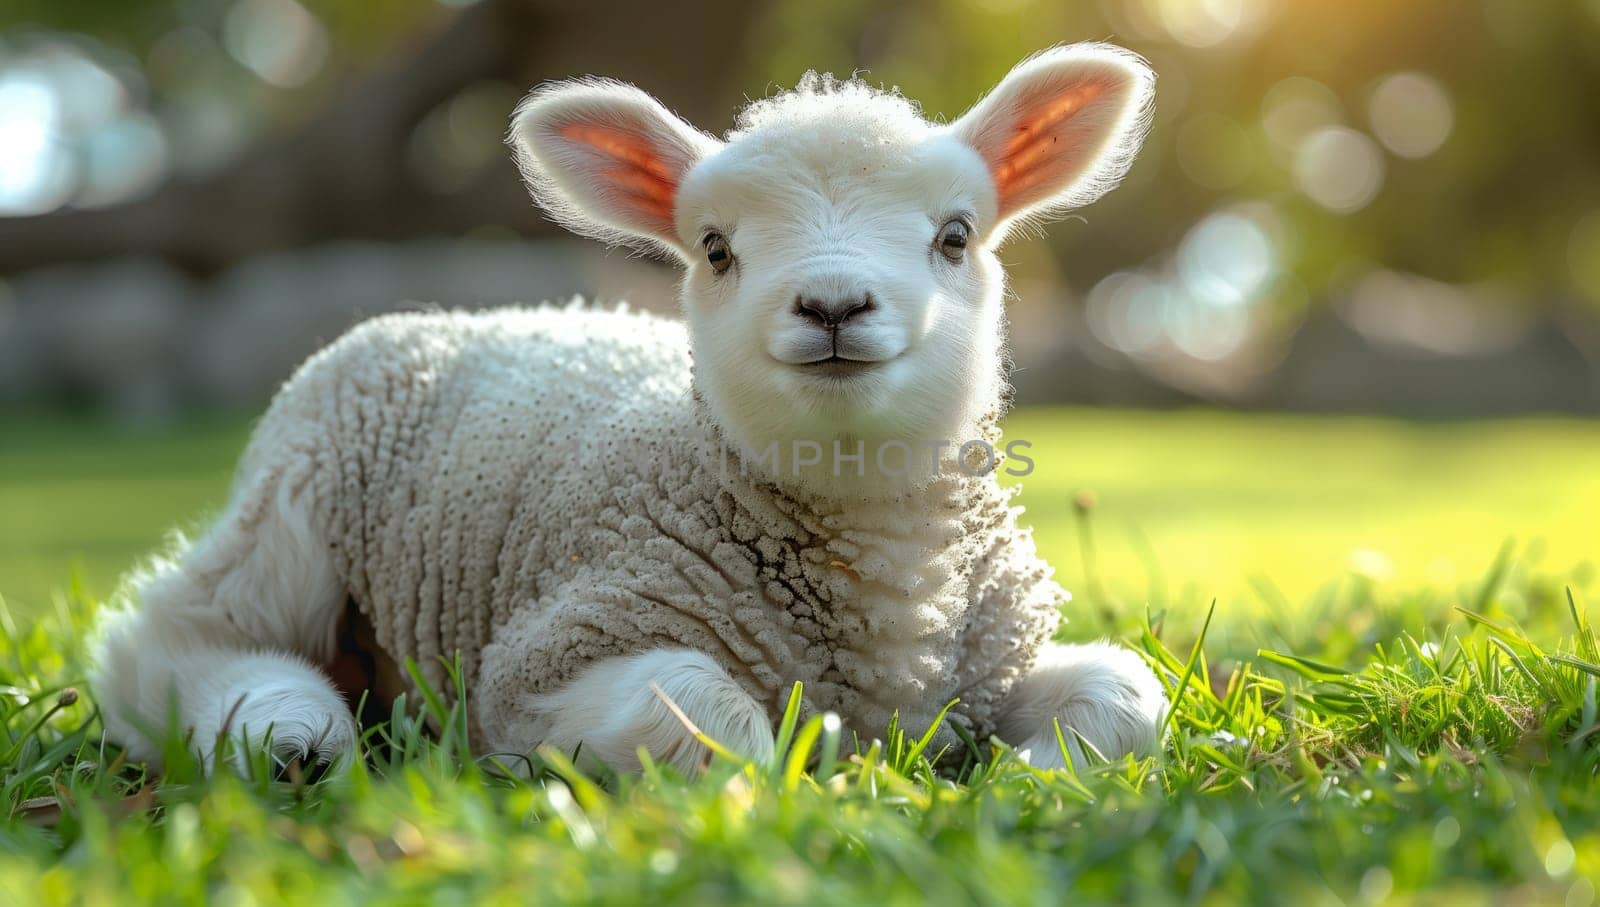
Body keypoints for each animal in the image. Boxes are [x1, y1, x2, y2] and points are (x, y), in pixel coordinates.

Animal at [90, 44, 1164, 774]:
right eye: (717, 248)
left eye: (955, 235)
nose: (832, 306)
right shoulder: (542, 657)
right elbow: (704, 715)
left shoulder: (996, 657)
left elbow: (1127, 695)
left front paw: (1030, 771)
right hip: (293, 505)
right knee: (171, 642)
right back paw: (288, 729)